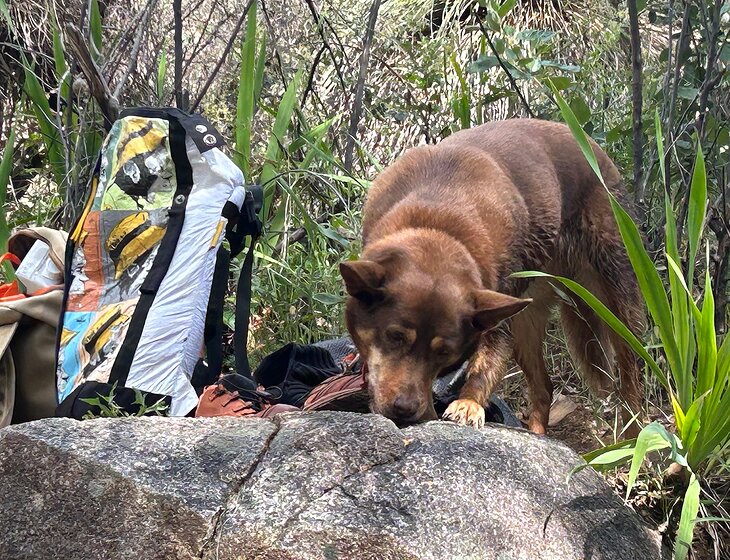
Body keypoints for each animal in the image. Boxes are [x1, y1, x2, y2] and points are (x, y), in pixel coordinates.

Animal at [340, 119, 644, 434]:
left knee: (630, 379)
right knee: (544, 388)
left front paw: (468, 403)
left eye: (444, 352)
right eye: (395, 337)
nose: (404, 410)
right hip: (525, 317)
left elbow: (484, 366)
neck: (436, 219)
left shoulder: (494, 313)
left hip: (614, 301)